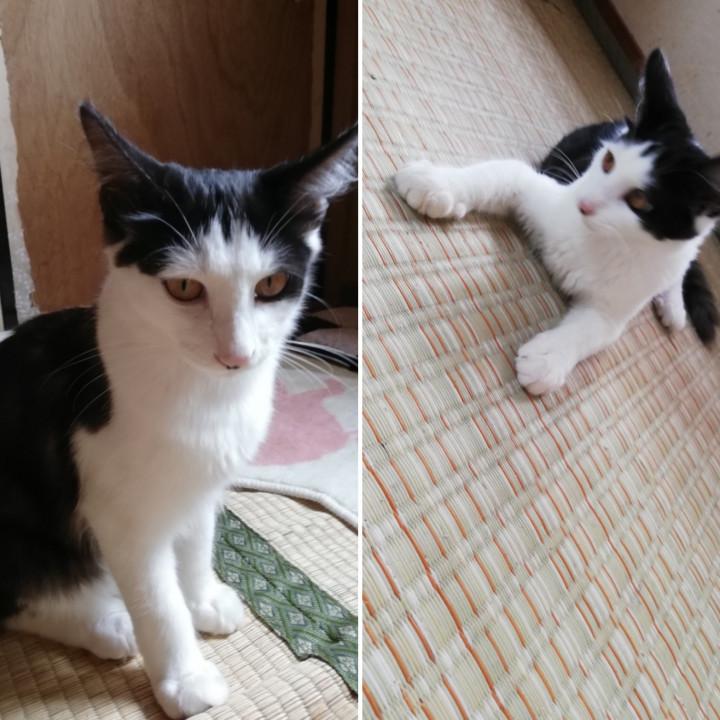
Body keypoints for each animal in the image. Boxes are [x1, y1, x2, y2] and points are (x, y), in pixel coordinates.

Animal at [0, 102, 356, 717]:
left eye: (272, 283)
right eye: (185, 288)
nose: (236, 355)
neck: (203, 395)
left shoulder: (202, 479)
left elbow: (196, 539)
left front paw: (203, 598)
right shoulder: (118, 511)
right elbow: (156, 597)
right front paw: (184, 678)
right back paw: (107, 624)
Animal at [394, 49, 720, 395]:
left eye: (639, 201)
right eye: (608, 161)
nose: (584, 203)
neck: (600, 239)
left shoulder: (619, 301)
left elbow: (595, 330)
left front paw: (548, 359)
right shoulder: (549, 190)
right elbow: (503, 173)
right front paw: (436, 183)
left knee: (682, 266)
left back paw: (674, 306)